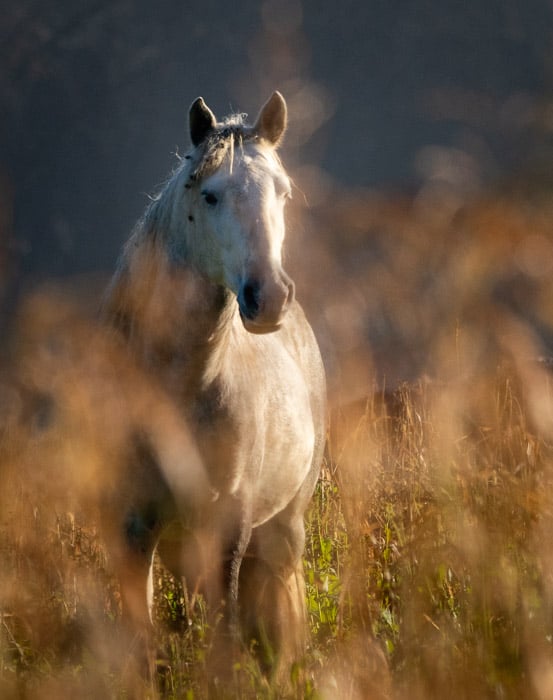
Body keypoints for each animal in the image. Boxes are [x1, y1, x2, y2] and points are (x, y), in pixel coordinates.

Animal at [101, 92, 327, 685]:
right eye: (210, 194)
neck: (178, 386)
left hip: (281, 531)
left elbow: (225, 634)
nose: (269, 297)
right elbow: (141, 641)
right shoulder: (133, 526)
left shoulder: (231, 525)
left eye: (283, 191)